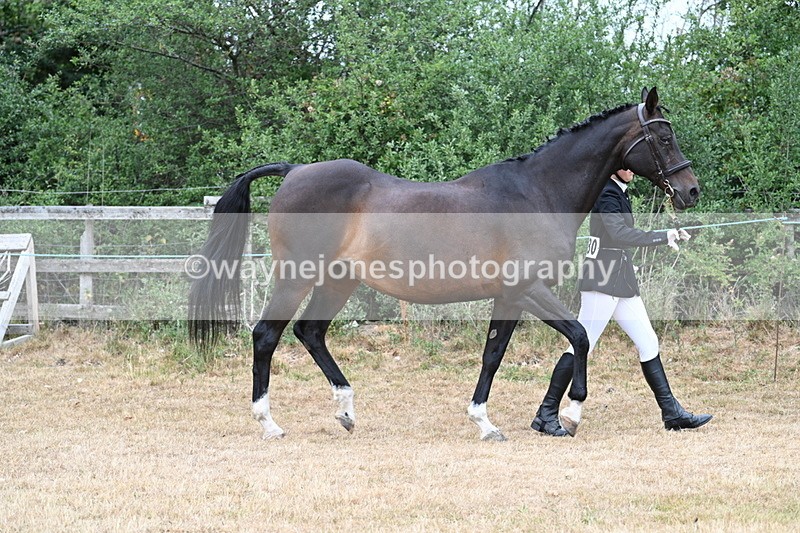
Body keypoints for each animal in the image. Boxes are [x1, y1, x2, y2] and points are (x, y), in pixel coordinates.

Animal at [188, 87, 699, 441]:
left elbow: (509, 351)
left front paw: (502, 421)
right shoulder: (524, 289)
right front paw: (557, 417)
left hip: (338, 281)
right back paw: (269, 423)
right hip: (297, 278)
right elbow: (564, 340)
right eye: (664, 136)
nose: (690, 191)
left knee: (310, 332)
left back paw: (346, 411)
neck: (537, 192)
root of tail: (294, 171)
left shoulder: (514, 295)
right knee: (266, 336)